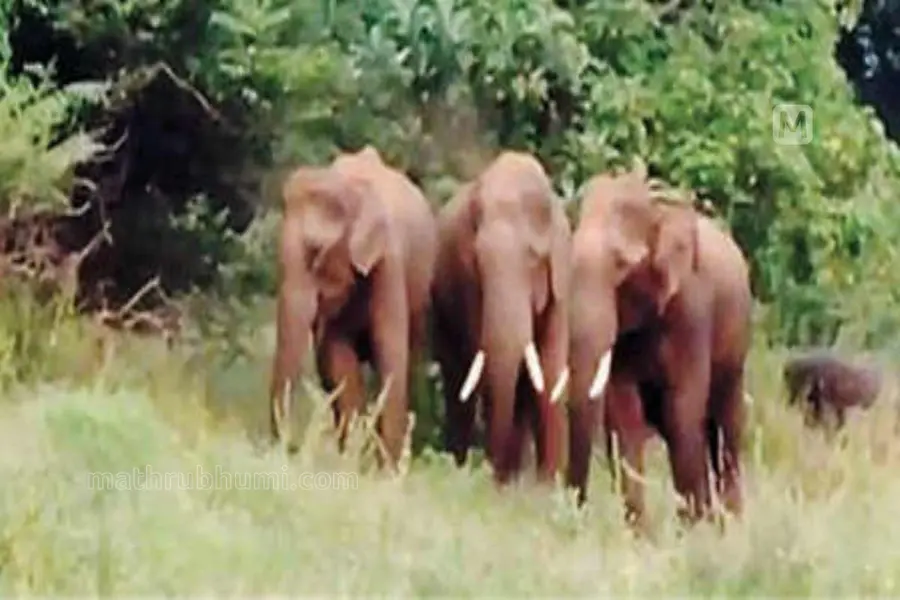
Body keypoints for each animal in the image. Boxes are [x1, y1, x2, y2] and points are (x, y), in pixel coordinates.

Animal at [268, 145, 438, 468]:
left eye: (316, 253)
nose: (286, 447)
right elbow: (338, 355)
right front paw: (352, 460)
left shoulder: (390, 265)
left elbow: (392, 358)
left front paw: (387, 470)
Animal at [431, 151, 572, 484]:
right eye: (478, 262)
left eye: (534, 259)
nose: (494, 475)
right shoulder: (468, 285)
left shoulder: (562, 280)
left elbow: (549, 368)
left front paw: (548, 487)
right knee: (458, 382)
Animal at [565, 169, 753, 528]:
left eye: (622, 264)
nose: (576, 509)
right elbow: (624, 417)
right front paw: (642, 535)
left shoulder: (693, 311)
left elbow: (683, 410)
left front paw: (694, 530)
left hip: (735, 354)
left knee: (725, 431)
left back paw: (731, 524)